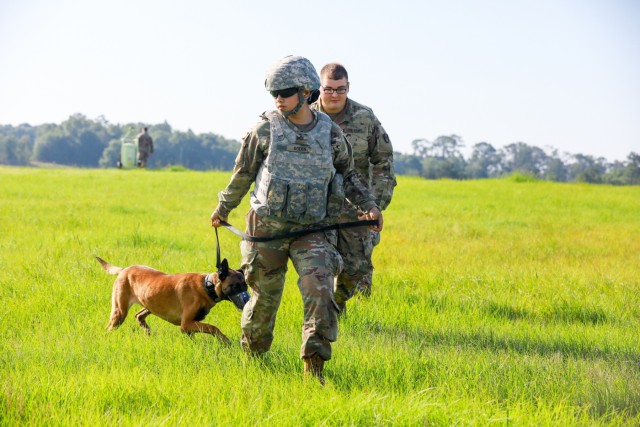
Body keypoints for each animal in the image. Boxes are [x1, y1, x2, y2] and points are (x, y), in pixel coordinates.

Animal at [95, 258, 250, 344]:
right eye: (235, 286)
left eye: (246, 285)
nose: (247, 301)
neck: (207, 286)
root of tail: (124, 269)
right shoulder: (186, 323)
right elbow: (213, 327)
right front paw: (225, 340)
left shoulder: (189, 326)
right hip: (119, 312)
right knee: (110, 327)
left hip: (149, 304)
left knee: (139, 315)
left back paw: (147, 331)